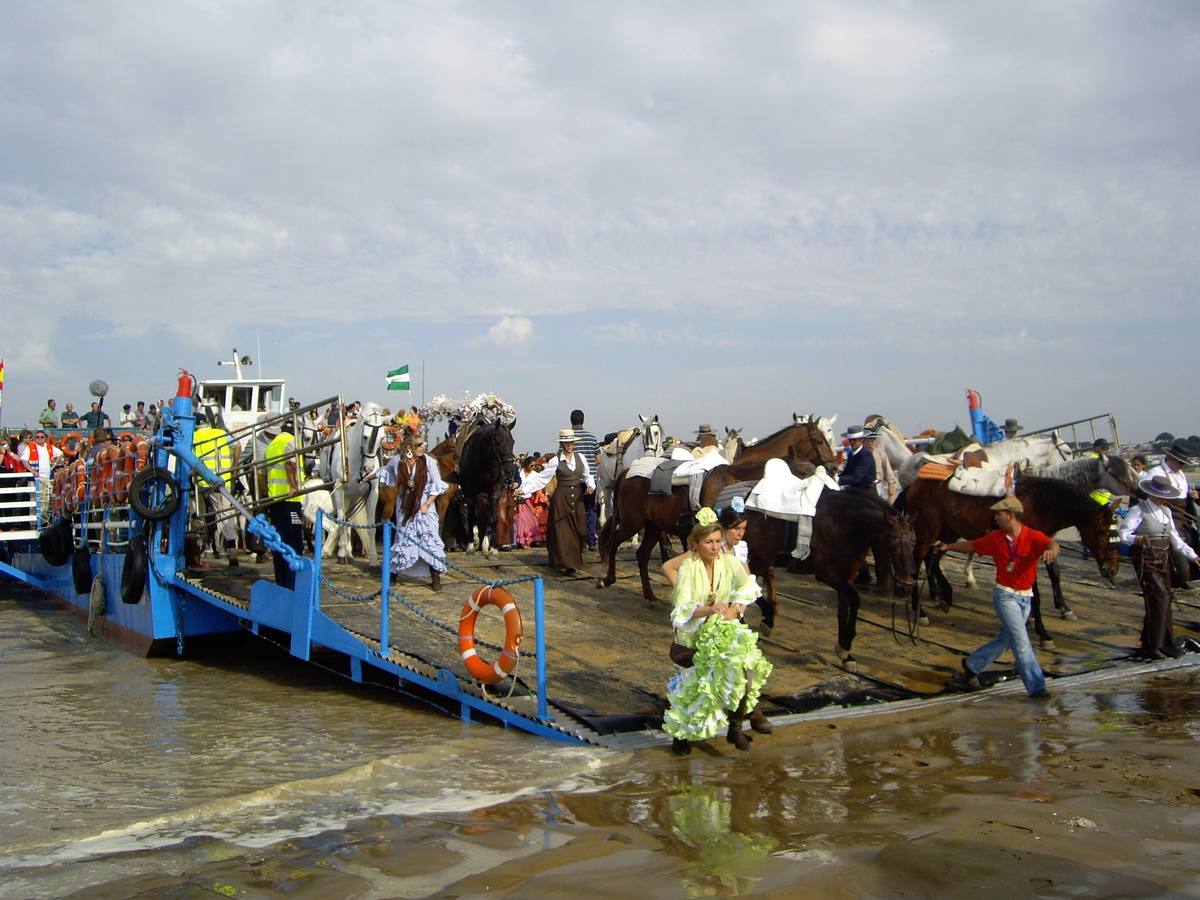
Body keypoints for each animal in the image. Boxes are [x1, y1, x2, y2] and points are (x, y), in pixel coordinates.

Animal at [316, 403, 381, 564]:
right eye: (365, 436)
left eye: (382, 437)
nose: (369, 469)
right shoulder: (338, 490)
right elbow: (341, 520)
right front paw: (340, 554)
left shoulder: (373, 493)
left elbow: (372, 527)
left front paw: (373, 560)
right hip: (338, 494)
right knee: (343, 518)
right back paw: (339, 551)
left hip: (354, 497)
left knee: (349, 519)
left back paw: (348, 552)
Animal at [451, 422, 518, 556]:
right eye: (498, 442)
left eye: (512, 442)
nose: (509, 471)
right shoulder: (470, 492)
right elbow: (472, 518)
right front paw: (471, 545)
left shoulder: (495, 491)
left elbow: (492, 518)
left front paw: (491, 547)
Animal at [734, 489, 912, 672]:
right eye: (893, 545)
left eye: (913, 543)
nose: (906, 585)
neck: (846, 526)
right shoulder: (829, 575)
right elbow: (855, 599)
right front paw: (845, 646)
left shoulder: (847, 577)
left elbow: (844, 610)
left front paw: (846, 653)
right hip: (759, 557)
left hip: (762, 558)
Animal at [902, 475, 1118, 652]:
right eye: (1103, 531)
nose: (1112, 569)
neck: (1042, 505)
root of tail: (915, 483)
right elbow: (1035, 593)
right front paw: (1043, 633)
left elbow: (1053, 574)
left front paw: (1058, 610)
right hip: (927, 531)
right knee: (917, 562)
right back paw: (921, 611)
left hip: (949, 531)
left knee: (933, 558)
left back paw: (943, 595)